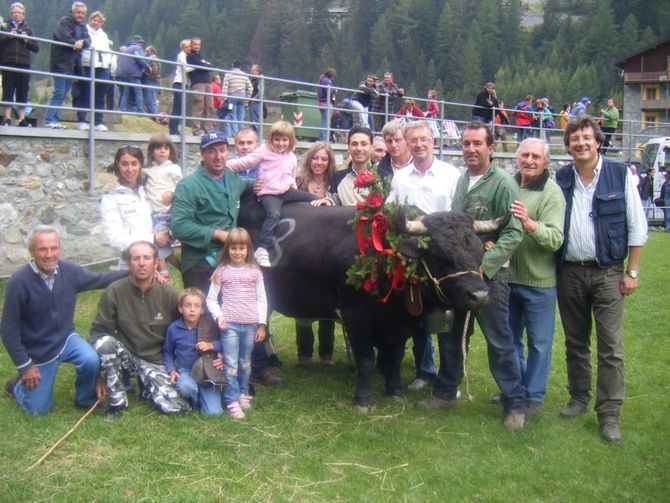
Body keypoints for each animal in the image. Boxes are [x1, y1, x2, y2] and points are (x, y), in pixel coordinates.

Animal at [239, 191, 490, 412]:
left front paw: (395, 391)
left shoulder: (400, 322)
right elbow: (366, 359)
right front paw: (362, 400)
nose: (479, 296)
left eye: (480, 253)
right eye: (440, 255)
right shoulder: (355, 315)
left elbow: (395, 357)